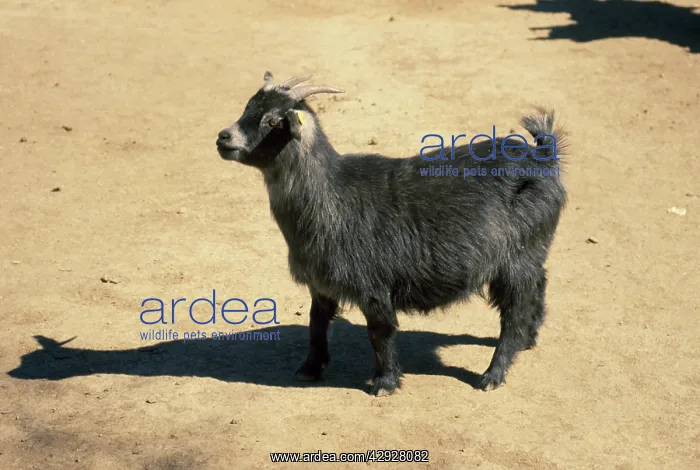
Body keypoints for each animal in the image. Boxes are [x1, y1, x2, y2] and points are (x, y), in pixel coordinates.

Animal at [215, 72, 567, 396]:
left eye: (274, 121)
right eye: (248, 107)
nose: (223, 137)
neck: (331, 194)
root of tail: (543, 157)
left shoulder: (373, 284)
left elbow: (379, 331)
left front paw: (385, 382)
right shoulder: (321, 283)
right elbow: (316, 325)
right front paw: (310, 369)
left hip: (517, 257)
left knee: (513, 314)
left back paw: (493, 375)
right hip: (533, 252)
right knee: (538, 286)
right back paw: (529, 339)